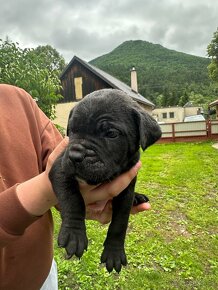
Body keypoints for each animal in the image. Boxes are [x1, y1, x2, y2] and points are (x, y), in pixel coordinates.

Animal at [49, 88, 162, 272]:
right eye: (71, 131)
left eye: (111, 134)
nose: (75, 155)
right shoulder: (60, 168)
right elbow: (72, 199)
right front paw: (74, 233)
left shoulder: (125, 191)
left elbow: (119, 223)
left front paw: (113, 252)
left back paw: (137, 197)